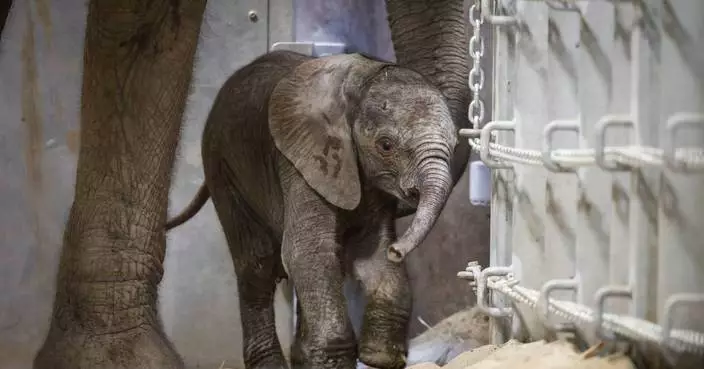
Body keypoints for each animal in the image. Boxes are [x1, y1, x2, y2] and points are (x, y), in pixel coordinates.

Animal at [168, 50, 460, 368]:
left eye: (455, 143)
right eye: (385, 145)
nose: (399, 250)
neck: (362, 77)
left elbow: (370, 250)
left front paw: (379, 357)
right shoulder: (301, 160)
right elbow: (307, 249)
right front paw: (336, 362)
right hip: (223, 169)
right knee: (257, 265)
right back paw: (272, 364)